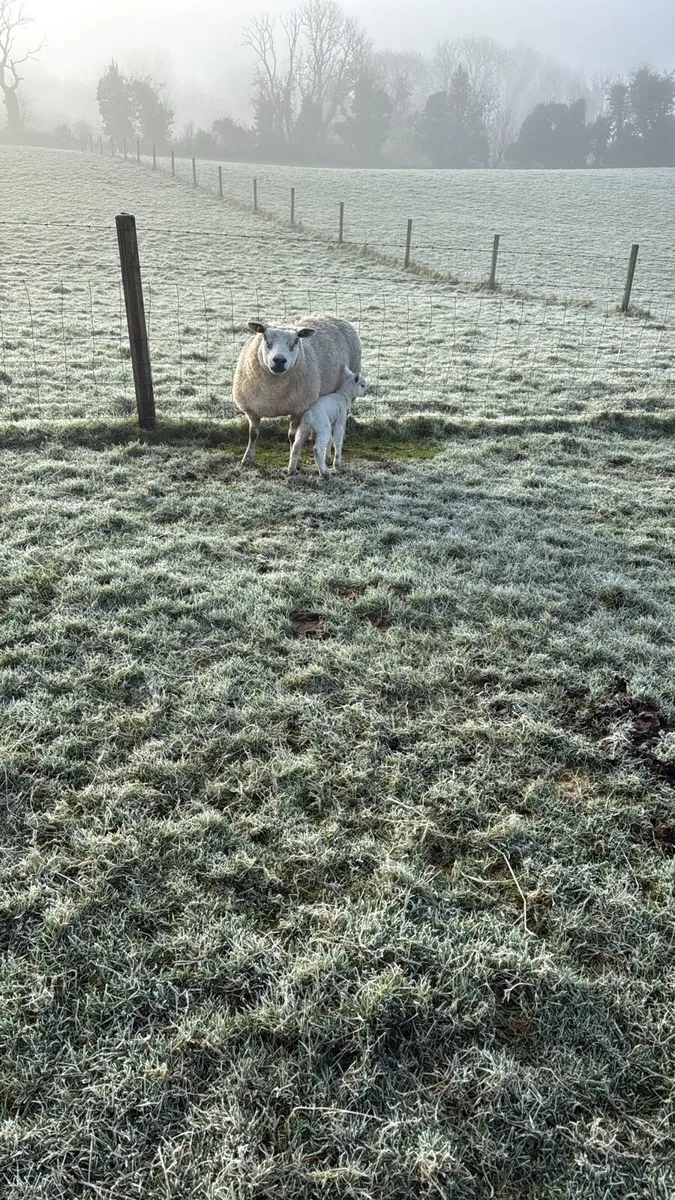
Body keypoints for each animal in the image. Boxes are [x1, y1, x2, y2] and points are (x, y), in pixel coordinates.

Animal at [232, 314, 362, 465]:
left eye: (295, 341)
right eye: (265, 338)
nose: (279, 360)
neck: (273, 393)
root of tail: (331, 316)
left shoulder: (298, 409)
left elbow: (292, 437)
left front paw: (293, 459)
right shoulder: (252, 410)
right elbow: (253, 434)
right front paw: (247, 458)